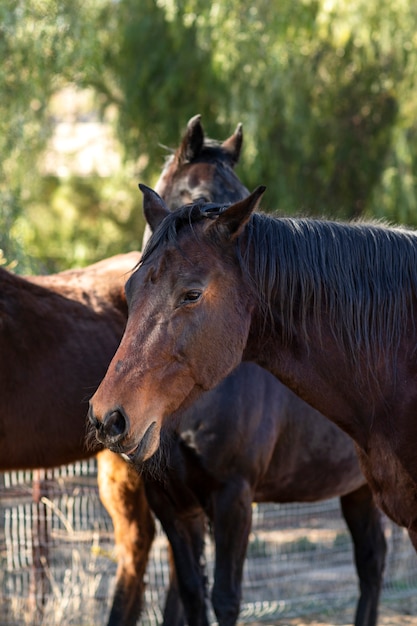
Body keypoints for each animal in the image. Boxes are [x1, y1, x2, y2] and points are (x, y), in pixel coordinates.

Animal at [145, 360, 386, 624]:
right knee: (372, 560)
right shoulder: (170, 506)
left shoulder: (233, 498)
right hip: (360, 490)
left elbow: (225, 598)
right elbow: (192, 593)